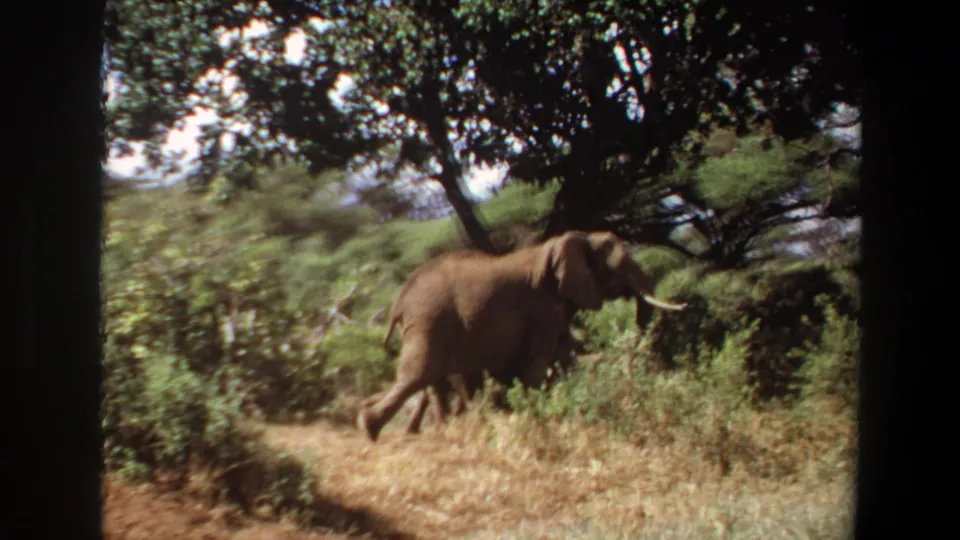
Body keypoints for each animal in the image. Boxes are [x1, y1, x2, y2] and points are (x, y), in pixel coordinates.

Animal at [358, 230, 687, 442]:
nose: (683, 305)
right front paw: (535, 416)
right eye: (619, 269)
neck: (565, 242)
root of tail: (400, 300)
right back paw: (370, 427)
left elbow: (564, 353)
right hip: (431, 319)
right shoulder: (543, 305)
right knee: (418, 375)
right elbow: (542, 358)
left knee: (431, 380)